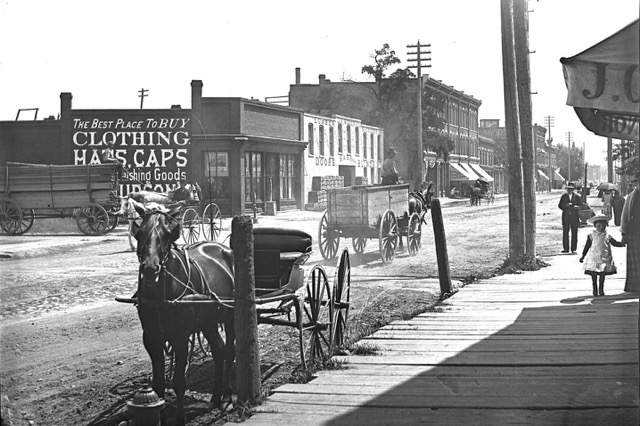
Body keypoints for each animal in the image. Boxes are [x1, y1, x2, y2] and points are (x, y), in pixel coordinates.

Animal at [131, 204, 235, 426]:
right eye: (140, 232)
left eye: (167, 234)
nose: (151, 268)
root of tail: (225, 249)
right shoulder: (151, 337)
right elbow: (159, 383)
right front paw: (159, 415)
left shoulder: (180, 336)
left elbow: (179, 381)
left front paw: (179, 418)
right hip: (208, 321)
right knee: (219, 350)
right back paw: (215, 397)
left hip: (231, 315)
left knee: (229, 351)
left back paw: (227, 397)